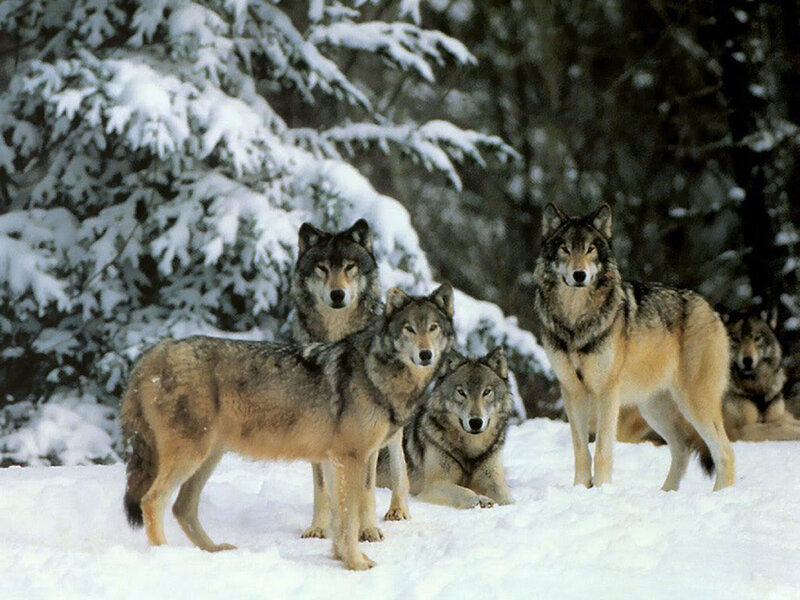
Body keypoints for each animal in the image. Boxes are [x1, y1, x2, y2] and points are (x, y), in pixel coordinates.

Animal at [121, 284, 455, 571]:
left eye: (433, 328)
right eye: (409, 328)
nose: (425, 355)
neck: (376, 373)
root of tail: (155, 352)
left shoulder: (336, 460)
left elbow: (339, 515)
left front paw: (341, 557)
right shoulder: (351, 458)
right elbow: (348, 519)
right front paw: (356, 563)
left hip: (207, 459)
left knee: (182, 508)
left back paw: (214, 550)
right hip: (191, 457)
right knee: (152, 501)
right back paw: (164, 555)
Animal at [289, 219, 410, 542]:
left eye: (349, 267)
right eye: (322, 268)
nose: (337, 294)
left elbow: (367, 487)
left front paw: (367, 530)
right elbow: (322, 485)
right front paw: (319, 526)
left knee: (399, 463)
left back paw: (398, 510)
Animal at [377, 347, 514, 509]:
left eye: (486, 392)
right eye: (461, 392)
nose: (475, 422)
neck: (470, 451)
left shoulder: (493, 479)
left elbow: (506, 497)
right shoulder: (433, 486)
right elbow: (465, 491)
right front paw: (480, 499)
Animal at [532, 203, 735, 491]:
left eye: (590, 249)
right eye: (566, 248)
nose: (579, 275)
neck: (576, 321)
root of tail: (710, 308)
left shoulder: (607, 392)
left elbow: (602, 449)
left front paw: (601, 489)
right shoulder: (572, 391)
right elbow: (581, 451)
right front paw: (580, 489)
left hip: (695, 403)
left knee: (725, 453)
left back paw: (720, 495)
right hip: (653, 409)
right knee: (683, 448)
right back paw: (666, 493)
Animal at [722, 307, 800, 441]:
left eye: (757, 338)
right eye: (736, 339)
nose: (747, 360)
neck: (756, 387)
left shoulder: (776, 417)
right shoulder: (736, 432)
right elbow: (779, 428)